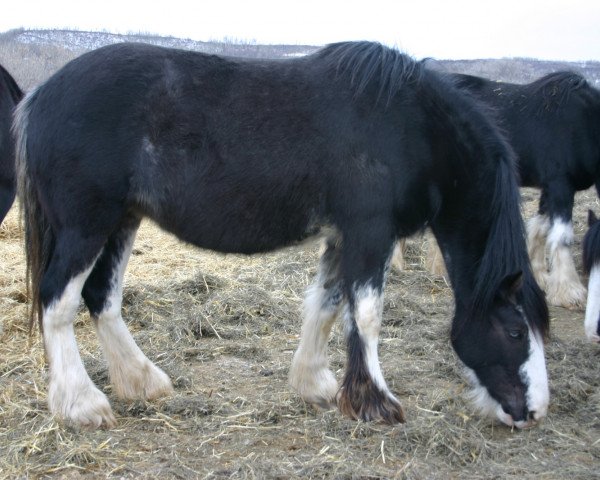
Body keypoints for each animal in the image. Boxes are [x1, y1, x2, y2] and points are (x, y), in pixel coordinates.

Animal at [14, 41, 552, 430]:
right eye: (515, 330)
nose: (534, 412)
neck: (409, 127)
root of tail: (39, 98)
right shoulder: (370, 233)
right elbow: (367, 315)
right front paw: (378, 403)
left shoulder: (343, 237)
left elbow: (329, 305)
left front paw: (316, 385)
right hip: (86, 224)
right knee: (58, 302)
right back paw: (82, 405)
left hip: (122, 220)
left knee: (101, 297)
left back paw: (143, 381)